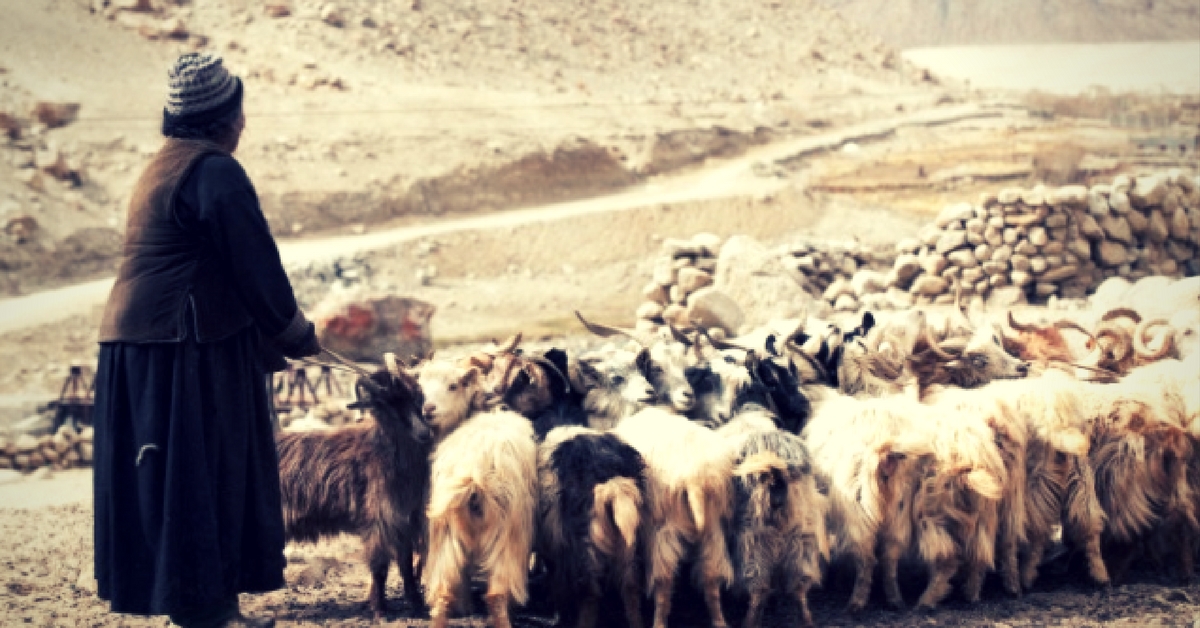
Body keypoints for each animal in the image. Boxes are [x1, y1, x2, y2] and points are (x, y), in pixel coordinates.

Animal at [276, 353, 432, 619]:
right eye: (384, 404)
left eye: (416, 394)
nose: (423, 433)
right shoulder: (379, 520)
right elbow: (380, 568)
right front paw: (380, 611)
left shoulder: (403, 521)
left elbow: (406, 565)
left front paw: (417, 604)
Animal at [614, 408, 734, 628]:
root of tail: (694, 478)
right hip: (712, 530)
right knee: (711, 578)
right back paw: (719, 621)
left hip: (663, 531)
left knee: (663, 583)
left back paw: (658, 623)